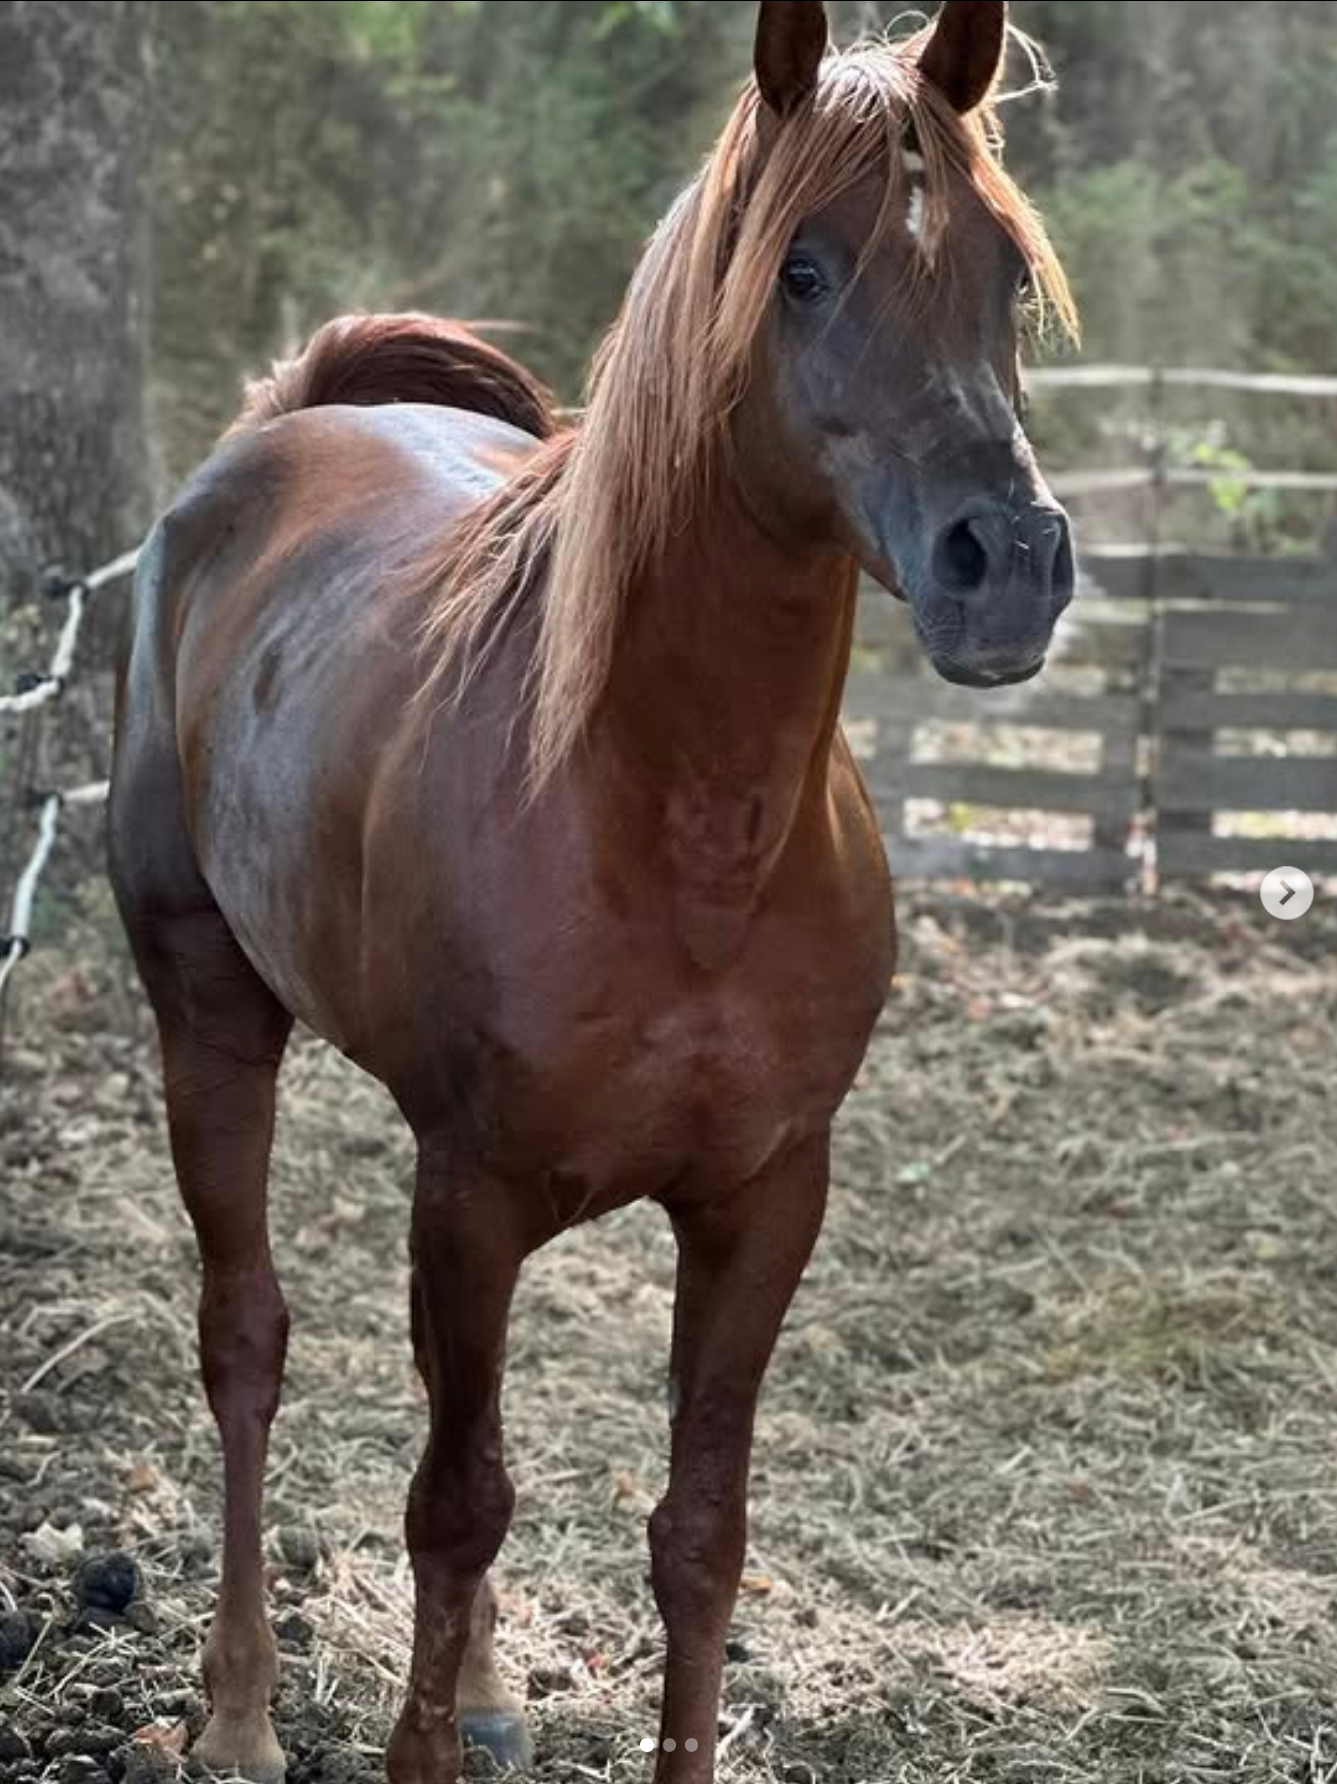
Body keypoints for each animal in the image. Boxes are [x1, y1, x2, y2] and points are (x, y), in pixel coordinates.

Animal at [108, 3, 1075, 1779]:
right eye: (802, 271)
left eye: (1003, 272)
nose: (1010, 565)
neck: (681, 828)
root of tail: (280, 426)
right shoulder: (475, 1189)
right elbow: (451, 1509)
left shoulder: (762, 1200)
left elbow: (697, 1532)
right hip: (210, 1022)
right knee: (247, 1344)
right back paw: (240, 1713)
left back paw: (483, 1691)